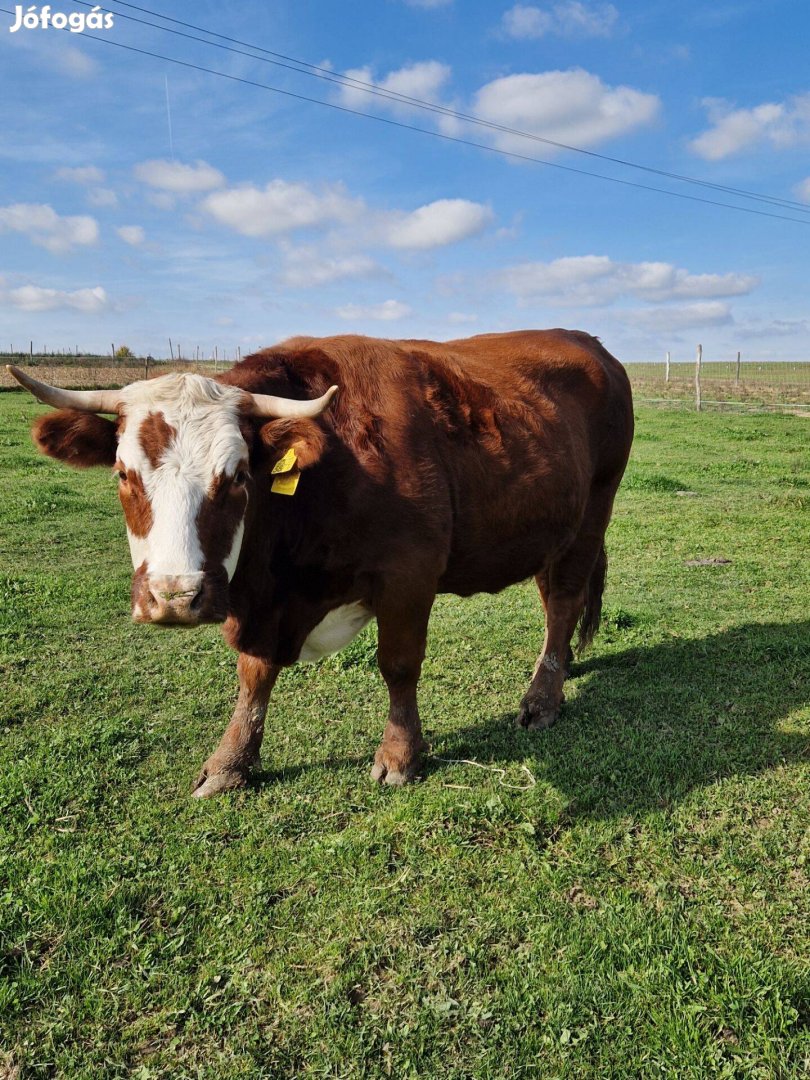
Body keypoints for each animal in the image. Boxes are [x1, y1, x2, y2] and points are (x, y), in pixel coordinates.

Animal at [9, 332, 639, 799]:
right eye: (123, 473)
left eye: (238, 476)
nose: (175, 598)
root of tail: (592, 345)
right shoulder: (262, 603)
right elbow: (253, 675)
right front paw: (231, 761)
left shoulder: (409, 574)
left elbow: (398, 666)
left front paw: (399, 754)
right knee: (553, 596)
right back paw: (555, 668)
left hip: (594, 509)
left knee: (564, 599)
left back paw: (542, 698)